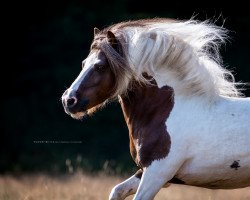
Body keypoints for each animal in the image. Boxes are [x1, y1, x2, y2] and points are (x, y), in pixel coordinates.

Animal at [62, 18, 250, 199]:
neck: (165, 112)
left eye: (100, 66)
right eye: (84, 63)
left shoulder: (158, 172)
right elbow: (117, 190)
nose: (68, 100)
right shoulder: (148, 172)